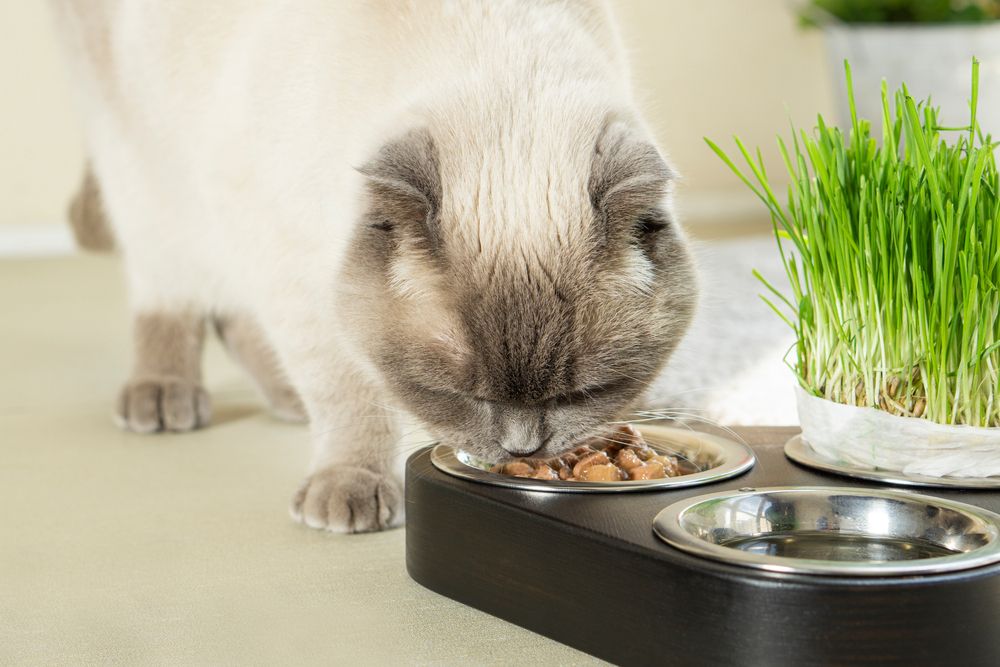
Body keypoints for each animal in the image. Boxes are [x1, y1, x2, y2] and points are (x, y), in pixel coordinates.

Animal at [50, 0, 700, 532]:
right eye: (454, 392)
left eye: (585, 391)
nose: (522, 449)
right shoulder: (294, 267)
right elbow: (349, 394)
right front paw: (351, 488)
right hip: (152, 174)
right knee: (173, 291)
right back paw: (164, 397)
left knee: (234, 315)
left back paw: (285, 399)